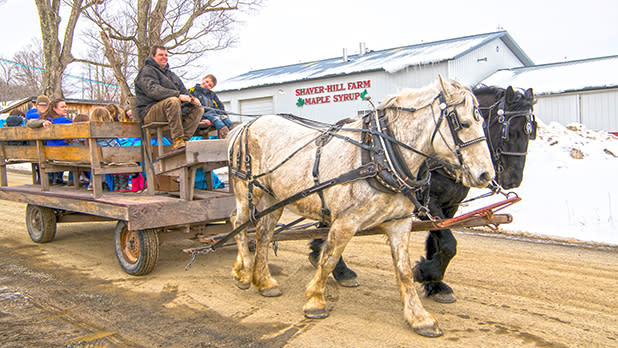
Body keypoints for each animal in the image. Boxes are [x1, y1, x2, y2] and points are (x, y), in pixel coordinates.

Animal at [226, 76, 490, 338]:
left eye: (483, 121)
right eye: (463, 123)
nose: (486, 174)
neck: (381, 155)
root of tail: (244, 126)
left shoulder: (399, 223)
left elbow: (404, 271)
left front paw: (419, 317)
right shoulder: (345, 221)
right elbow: (329, 258)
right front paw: (315, 301)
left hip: (273, 198)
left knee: (263, 233)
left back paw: (264, 281)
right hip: (246, 190)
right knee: (238, 223)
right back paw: (243, 272)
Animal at [306, 84, 536, 300]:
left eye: (530, 132)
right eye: (507, 129)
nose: (513, 180)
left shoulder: (449, 207)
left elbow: (437, 242)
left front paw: (436, 284)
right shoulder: (429, 203)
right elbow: (448, 243)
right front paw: (425, 273)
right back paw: (340, 270)